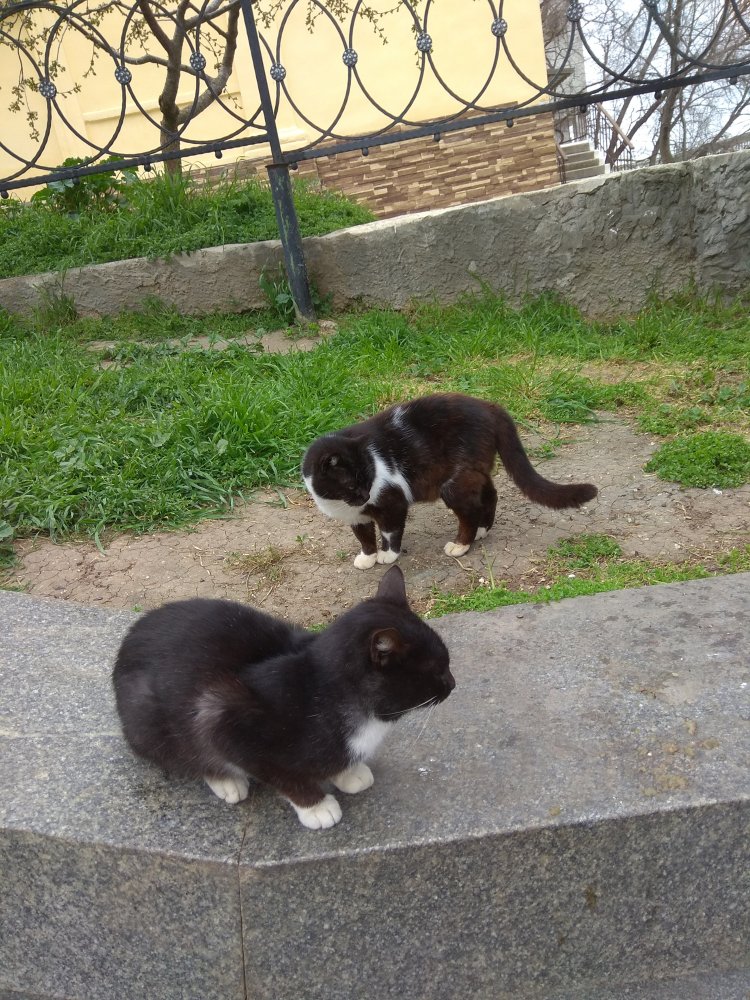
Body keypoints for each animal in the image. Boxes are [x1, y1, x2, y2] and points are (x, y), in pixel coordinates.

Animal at [112, 565, 453, 830]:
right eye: (436, 670)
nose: (452, 683)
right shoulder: (229, 720)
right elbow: (282, 775)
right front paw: (317, 806)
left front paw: (348, 773)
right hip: (150, 722)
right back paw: (226, 781)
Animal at [302, 392, 597, 569]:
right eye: (353, 485)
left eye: (369, 478)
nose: (365, 495)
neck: (340, 503)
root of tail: (489, 406)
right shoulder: (356, 516)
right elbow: (363, 535)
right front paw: (367, 557)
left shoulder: (392, 501)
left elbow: (389, 530)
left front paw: (388, 555)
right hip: (474, 471)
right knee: (490, 493)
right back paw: (482, 530)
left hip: (455, 482)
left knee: (469, 511)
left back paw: (462, 544)